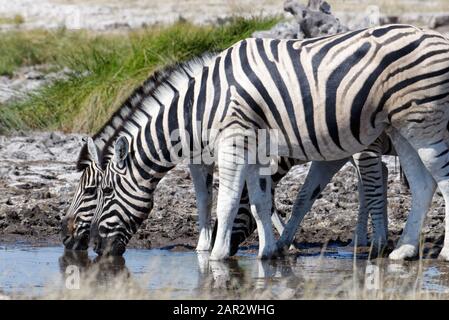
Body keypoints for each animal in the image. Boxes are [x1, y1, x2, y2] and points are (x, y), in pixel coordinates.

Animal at [87, 24, 448, 260]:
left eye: (103, 191)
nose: (96, 250)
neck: (203, 103)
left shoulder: (234, 139)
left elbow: (227, 200)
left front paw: (216, 256)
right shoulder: (254, 144)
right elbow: (262, 200)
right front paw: (269, 252)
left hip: (425, 126)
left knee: (441, 180)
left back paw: (439, 253)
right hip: (403, 128)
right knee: (422, 184)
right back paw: (403, 251)